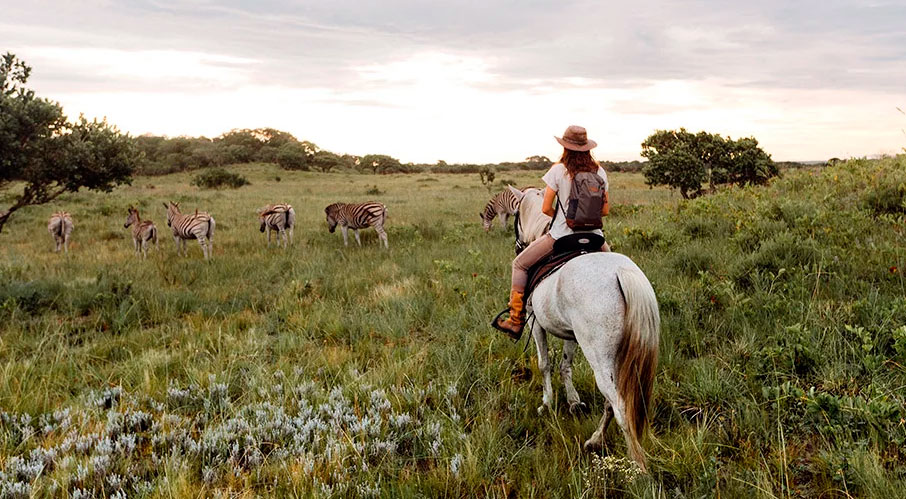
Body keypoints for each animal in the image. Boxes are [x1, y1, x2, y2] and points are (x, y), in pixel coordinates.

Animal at [508, 186, 656, 470]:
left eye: (516, 217)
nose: (519, 245)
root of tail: (621, 272)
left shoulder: (535, 321)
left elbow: (544, 364)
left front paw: (547, 404)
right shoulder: (571, 334)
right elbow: (565, 365)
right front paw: (574, 402)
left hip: (599, 357)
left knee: (619, 405)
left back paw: (638, 466)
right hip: (618, 358)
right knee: (613, 402)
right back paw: (595, 441)